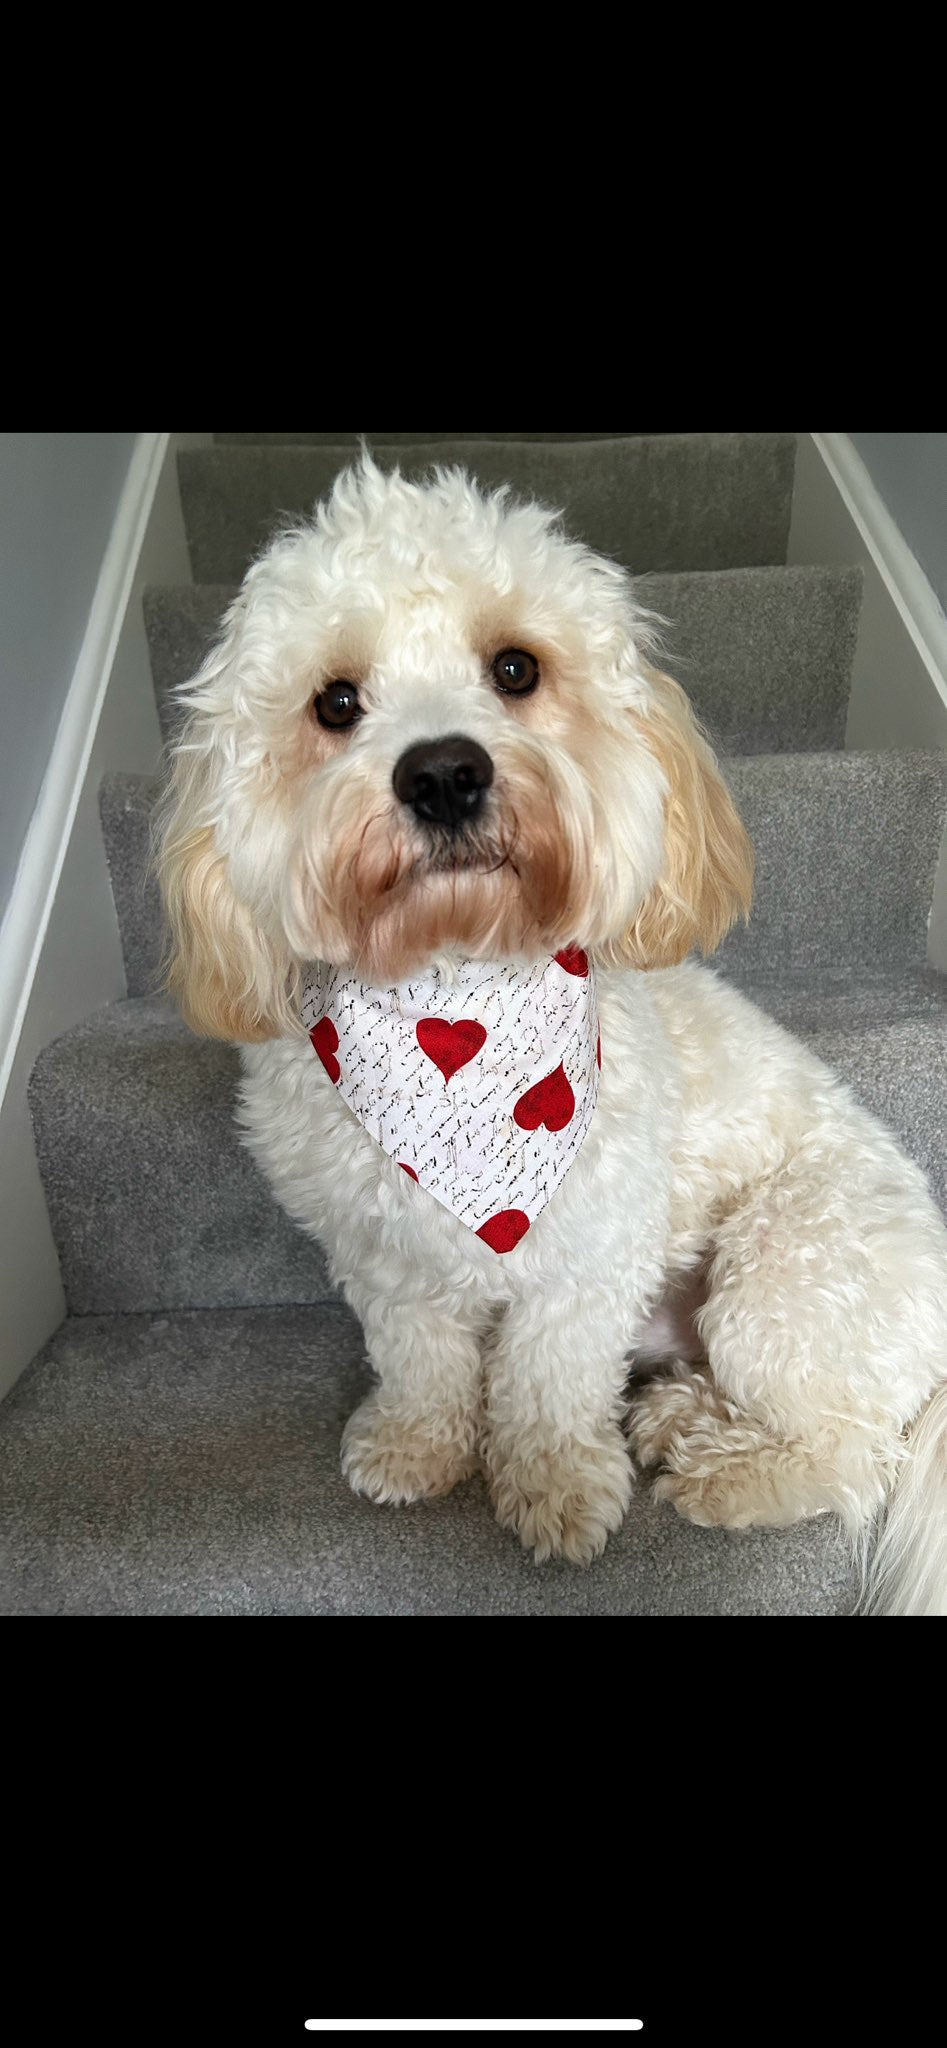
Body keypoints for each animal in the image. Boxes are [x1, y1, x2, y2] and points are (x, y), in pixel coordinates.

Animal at [156, 452, 946, 1613]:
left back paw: (726, 1469)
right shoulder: (381, 1252)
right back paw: (679, 1417)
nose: (443, 773)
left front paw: (555, 1489)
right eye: (334, 702)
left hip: (787, 1269)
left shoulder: (587, 1255)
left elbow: (546, 1383)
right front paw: (416, 1445)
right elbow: (420, 1356)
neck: (453, 1002)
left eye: (516, 668)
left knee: (850, 1454)